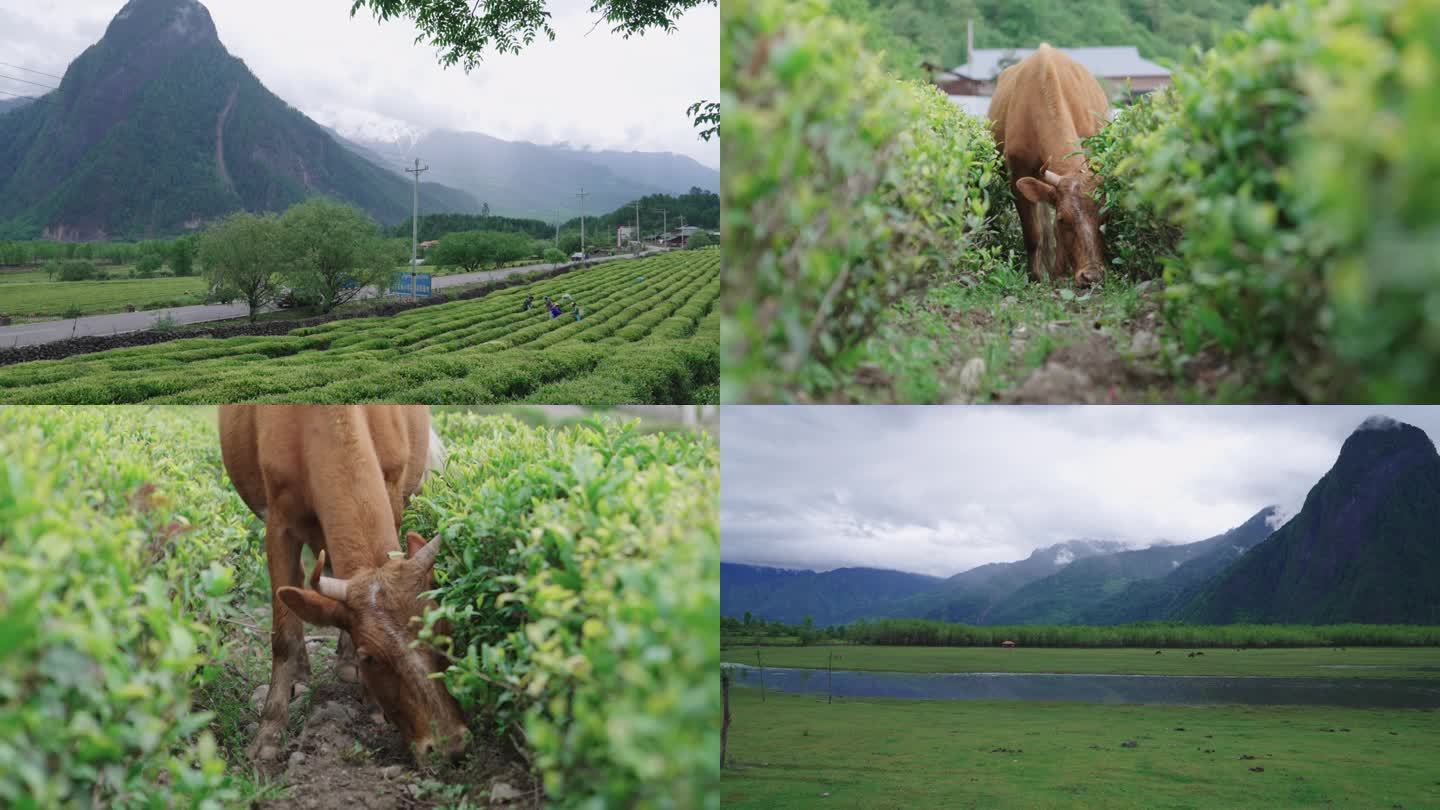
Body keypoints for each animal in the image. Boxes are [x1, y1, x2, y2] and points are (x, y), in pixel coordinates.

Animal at [216, 406, 469, 760]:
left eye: (444, 632)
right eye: (370, 656)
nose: (450, 745)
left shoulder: (392, 489)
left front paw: (372, 703)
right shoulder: (278, 520)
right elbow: (284, 635)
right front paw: (269, 732)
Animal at [990, 44, 1111, 283]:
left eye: (1101, 217)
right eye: (1063, 220)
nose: (1091, 275)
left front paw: (1058, 271)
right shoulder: (1017, 176)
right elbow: (1034, 233)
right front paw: (1037, 275)